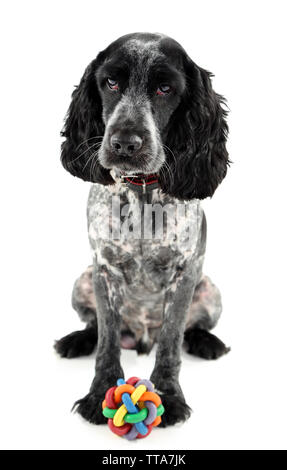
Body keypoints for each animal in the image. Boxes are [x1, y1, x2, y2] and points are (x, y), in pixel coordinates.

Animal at [55, 33, 232, 426]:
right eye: (111, 82)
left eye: (165, 88)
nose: (124, 143)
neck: (141, 194)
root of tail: (140, 336)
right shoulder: (103, 270)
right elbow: (106, 340)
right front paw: (98, 395)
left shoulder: (185, 274)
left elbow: (171, 341)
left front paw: (169, 396)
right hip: (83, 279)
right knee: (95, 327)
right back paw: (77, 340)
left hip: (209, 289)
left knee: (191, 328)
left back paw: (206, 343)